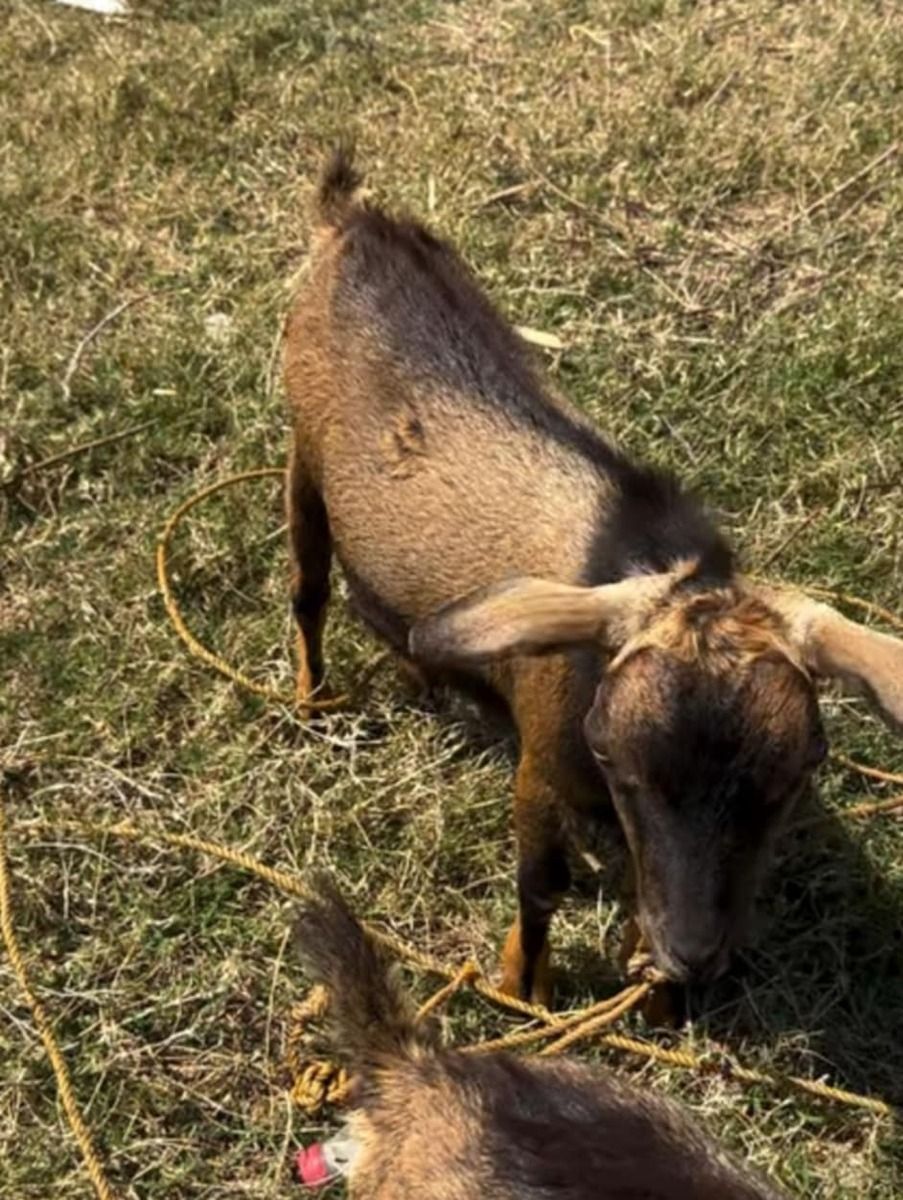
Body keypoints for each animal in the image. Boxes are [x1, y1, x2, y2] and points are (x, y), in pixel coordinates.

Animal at [283, 145, 903, 1004]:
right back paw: (313, 698)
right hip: (302, 448)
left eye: (802, 767)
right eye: (609, 754)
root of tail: (349, 217)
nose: (692, 955)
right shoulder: (543, 760)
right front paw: (524, 986)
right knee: (308, 583)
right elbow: (541, 883)